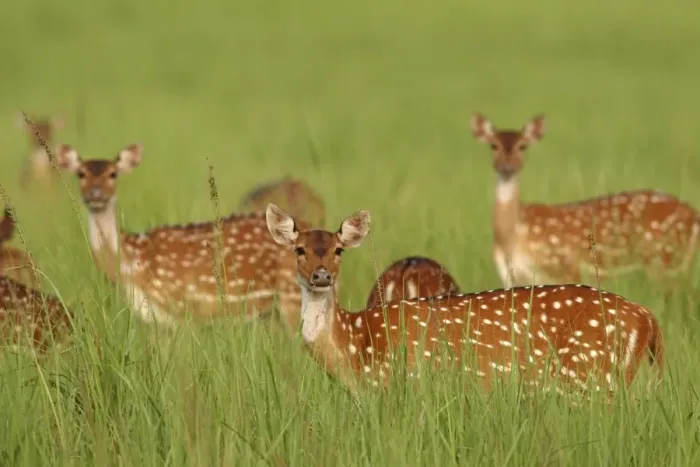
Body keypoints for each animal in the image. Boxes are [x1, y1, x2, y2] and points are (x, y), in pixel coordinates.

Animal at [56, 143, 306, 332]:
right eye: (81, 173)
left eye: (113, 173)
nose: (96, 194)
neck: (133, 264)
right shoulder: (156, 321)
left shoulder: (182, 307)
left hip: (292, 296)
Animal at [266, 203, 664, 397]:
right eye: (299, 249)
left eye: (339, 250)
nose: (321, 276)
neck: (355, 345)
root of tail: (647, 317)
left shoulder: (409, 384)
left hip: (593, 374)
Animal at [470, 113, 700, 289]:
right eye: (493, 145)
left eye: (523, 146)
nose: (507, 168)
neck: (512, 238)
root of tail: (695, 215)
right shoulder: (510, 278)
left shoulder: (566, 268)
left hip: (667, 261)